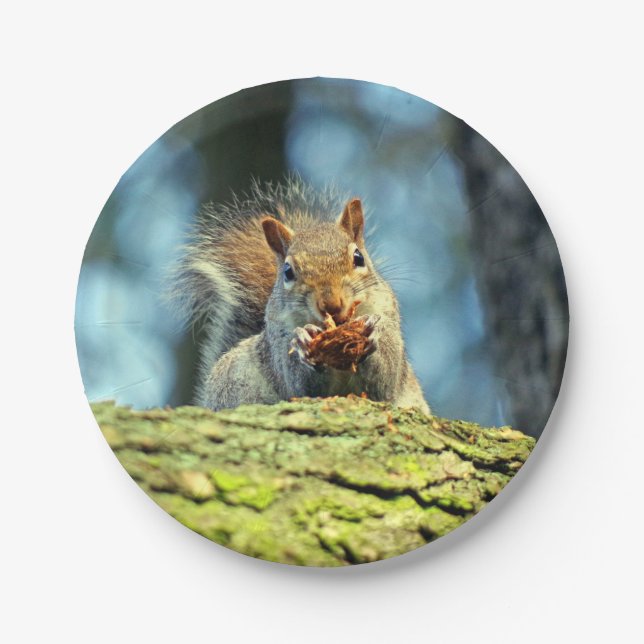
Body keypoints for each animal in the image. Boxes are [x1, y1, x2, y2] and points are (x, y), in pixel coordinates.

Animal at [173, 178, 430, 415]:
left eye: (358, 257)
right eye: (288, 271)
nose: (330, 303)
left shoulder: (386, 314)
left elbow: (383, 383)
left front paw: (371, 333)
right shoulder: (278, 338)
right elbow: (299, 386)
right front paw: (303, 340)